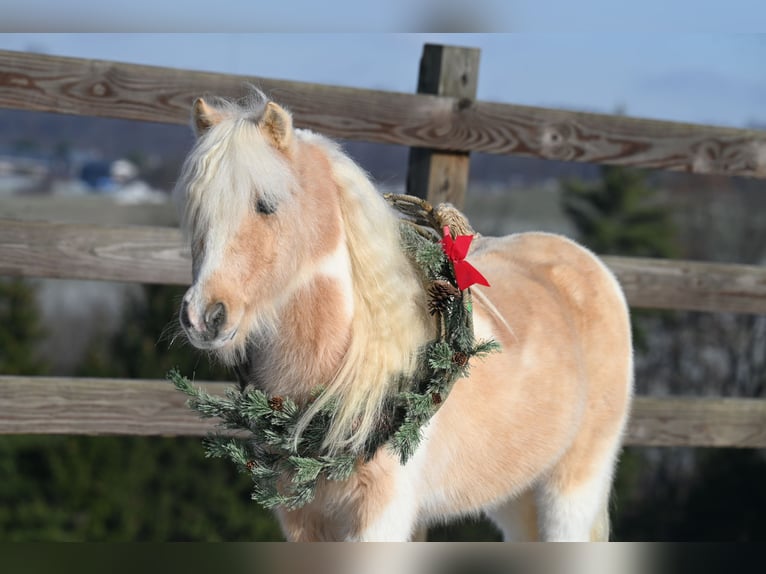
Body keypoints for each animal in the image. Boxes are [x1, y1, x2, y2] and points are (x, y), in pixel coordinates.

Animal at [176, 91, 636, 544]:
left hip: (570, 491)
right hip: (515, 495)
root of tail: (586, 263)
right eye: (196, 209)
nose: (204, 316)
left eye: (267, 205)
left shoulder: (380, 515)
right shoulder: (304, 521)